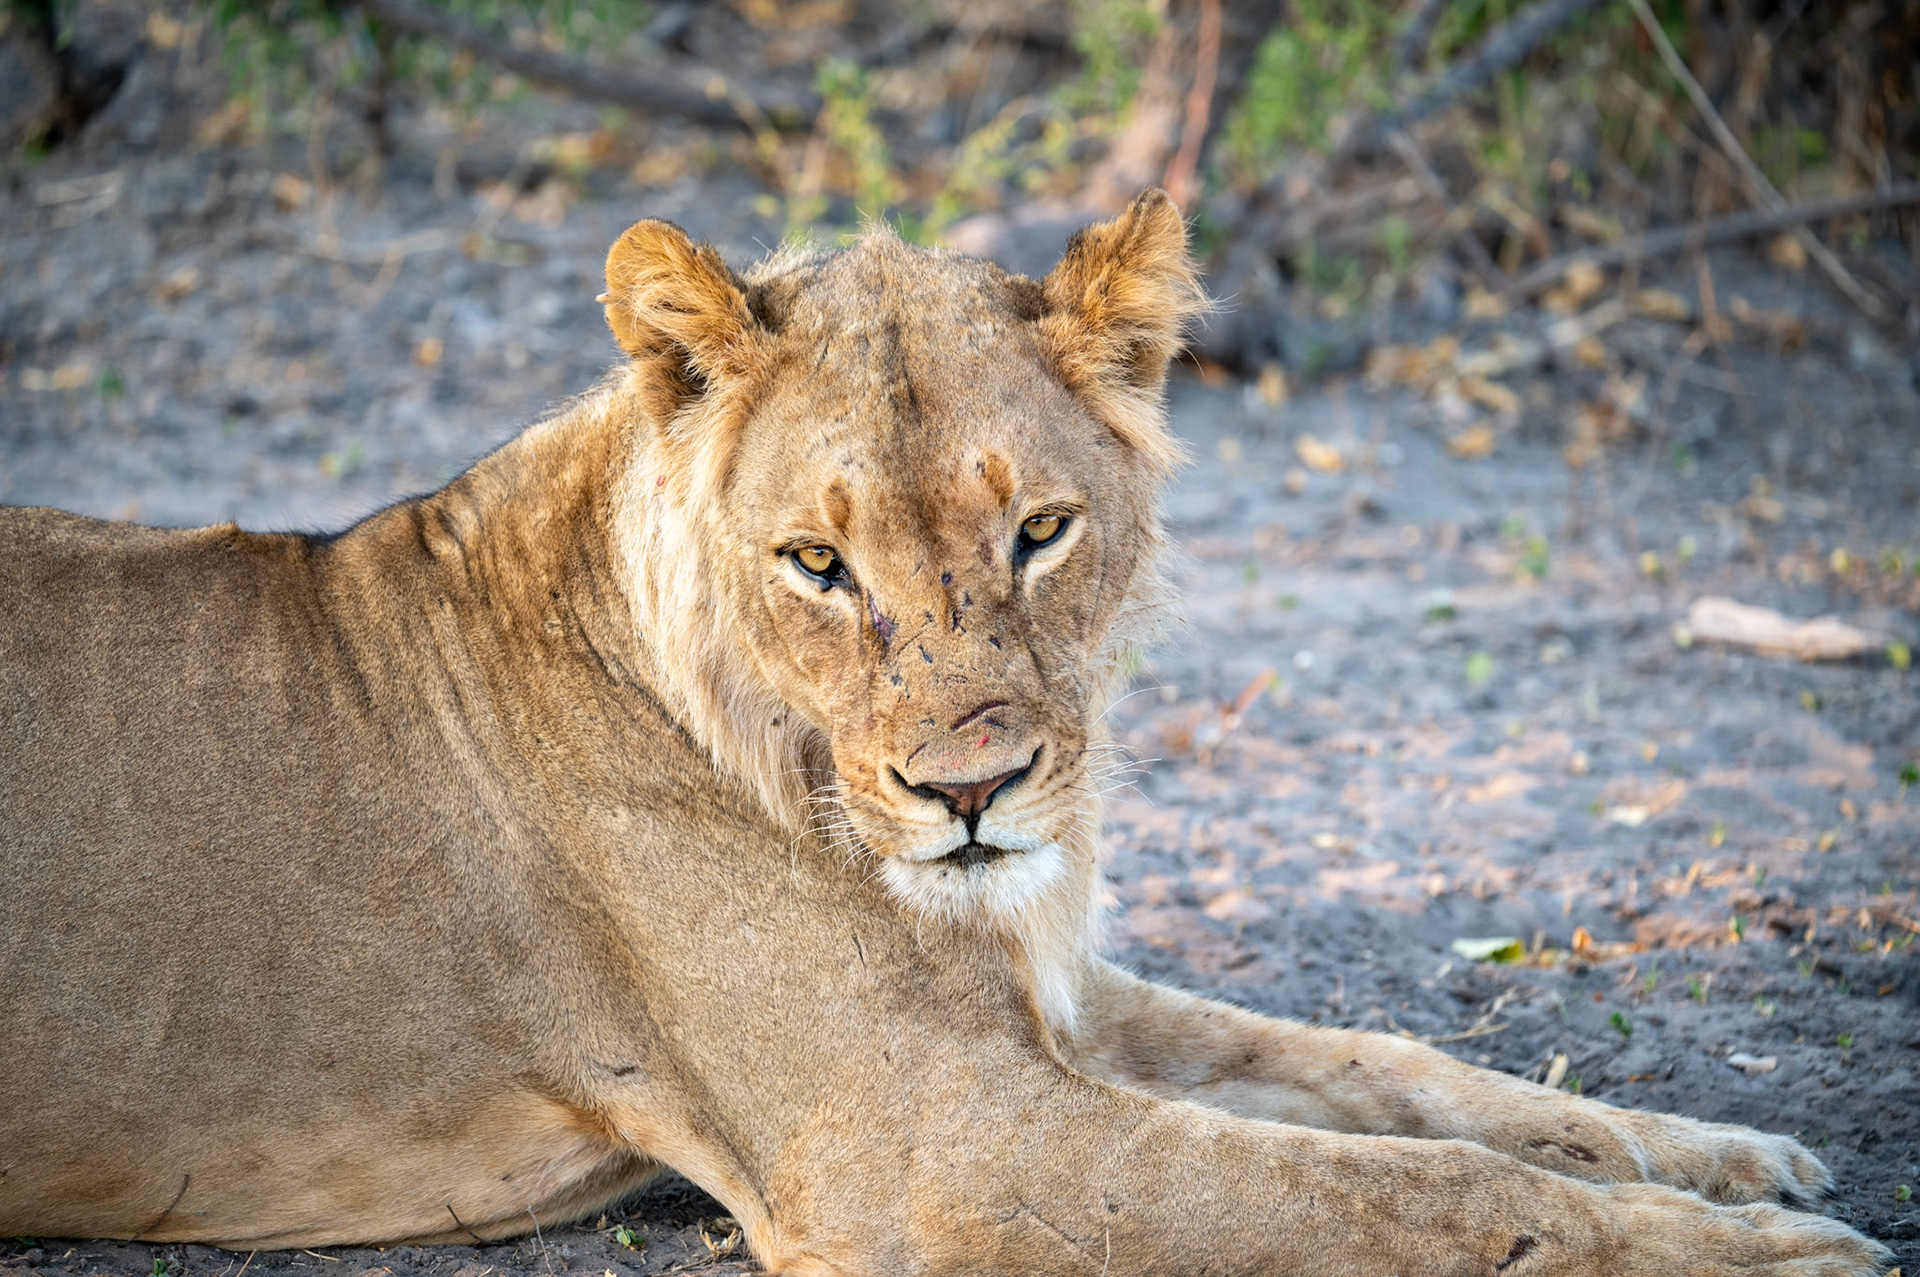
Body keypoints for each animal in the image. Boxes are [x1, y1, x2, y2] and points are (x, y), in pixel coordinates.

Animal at [0, 190, 1891, 1276]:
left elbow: (1406, 1079)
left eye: (1041, 531)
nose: (973, 792)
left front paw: (1740, 1155)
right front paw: (1765, 1252)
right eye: (818, 563)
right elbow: (1391, 1195)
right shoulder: (923, 1154)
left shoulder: (1046, 1006)